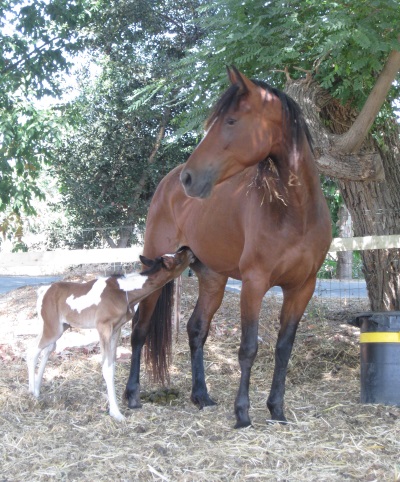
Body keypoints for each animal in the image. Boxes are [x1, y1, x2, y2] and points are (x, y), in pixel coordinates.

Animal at [27, 247, 194, 420]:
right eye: (176, 258)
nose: (188, 249)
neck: (124, 292)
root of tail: (43, 292)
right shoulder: (104, 328)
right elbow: (106, 368)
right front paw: (116, 412)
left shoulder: (116, 330)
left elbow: (112, 366)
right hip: (53, 329)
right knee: (33, 350)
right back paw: (33, 393)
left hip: (58, 327)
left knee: (44, 349)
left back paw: (36, 389)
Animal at [127, 66, 332, 428]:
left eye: (232, 120)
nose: (190, 178)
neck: (296, 213)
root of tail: (167, 182)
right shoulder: (254, 283)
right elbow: (248, 348)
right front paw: (243, 413)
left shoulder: (303, 287)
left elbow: (283, 348)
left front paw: (277, 411)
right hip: (155, 269)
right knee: (139, 329)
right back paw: (133, 395)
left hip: (212, 278)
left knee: (197, 329)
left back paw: (201, 396)